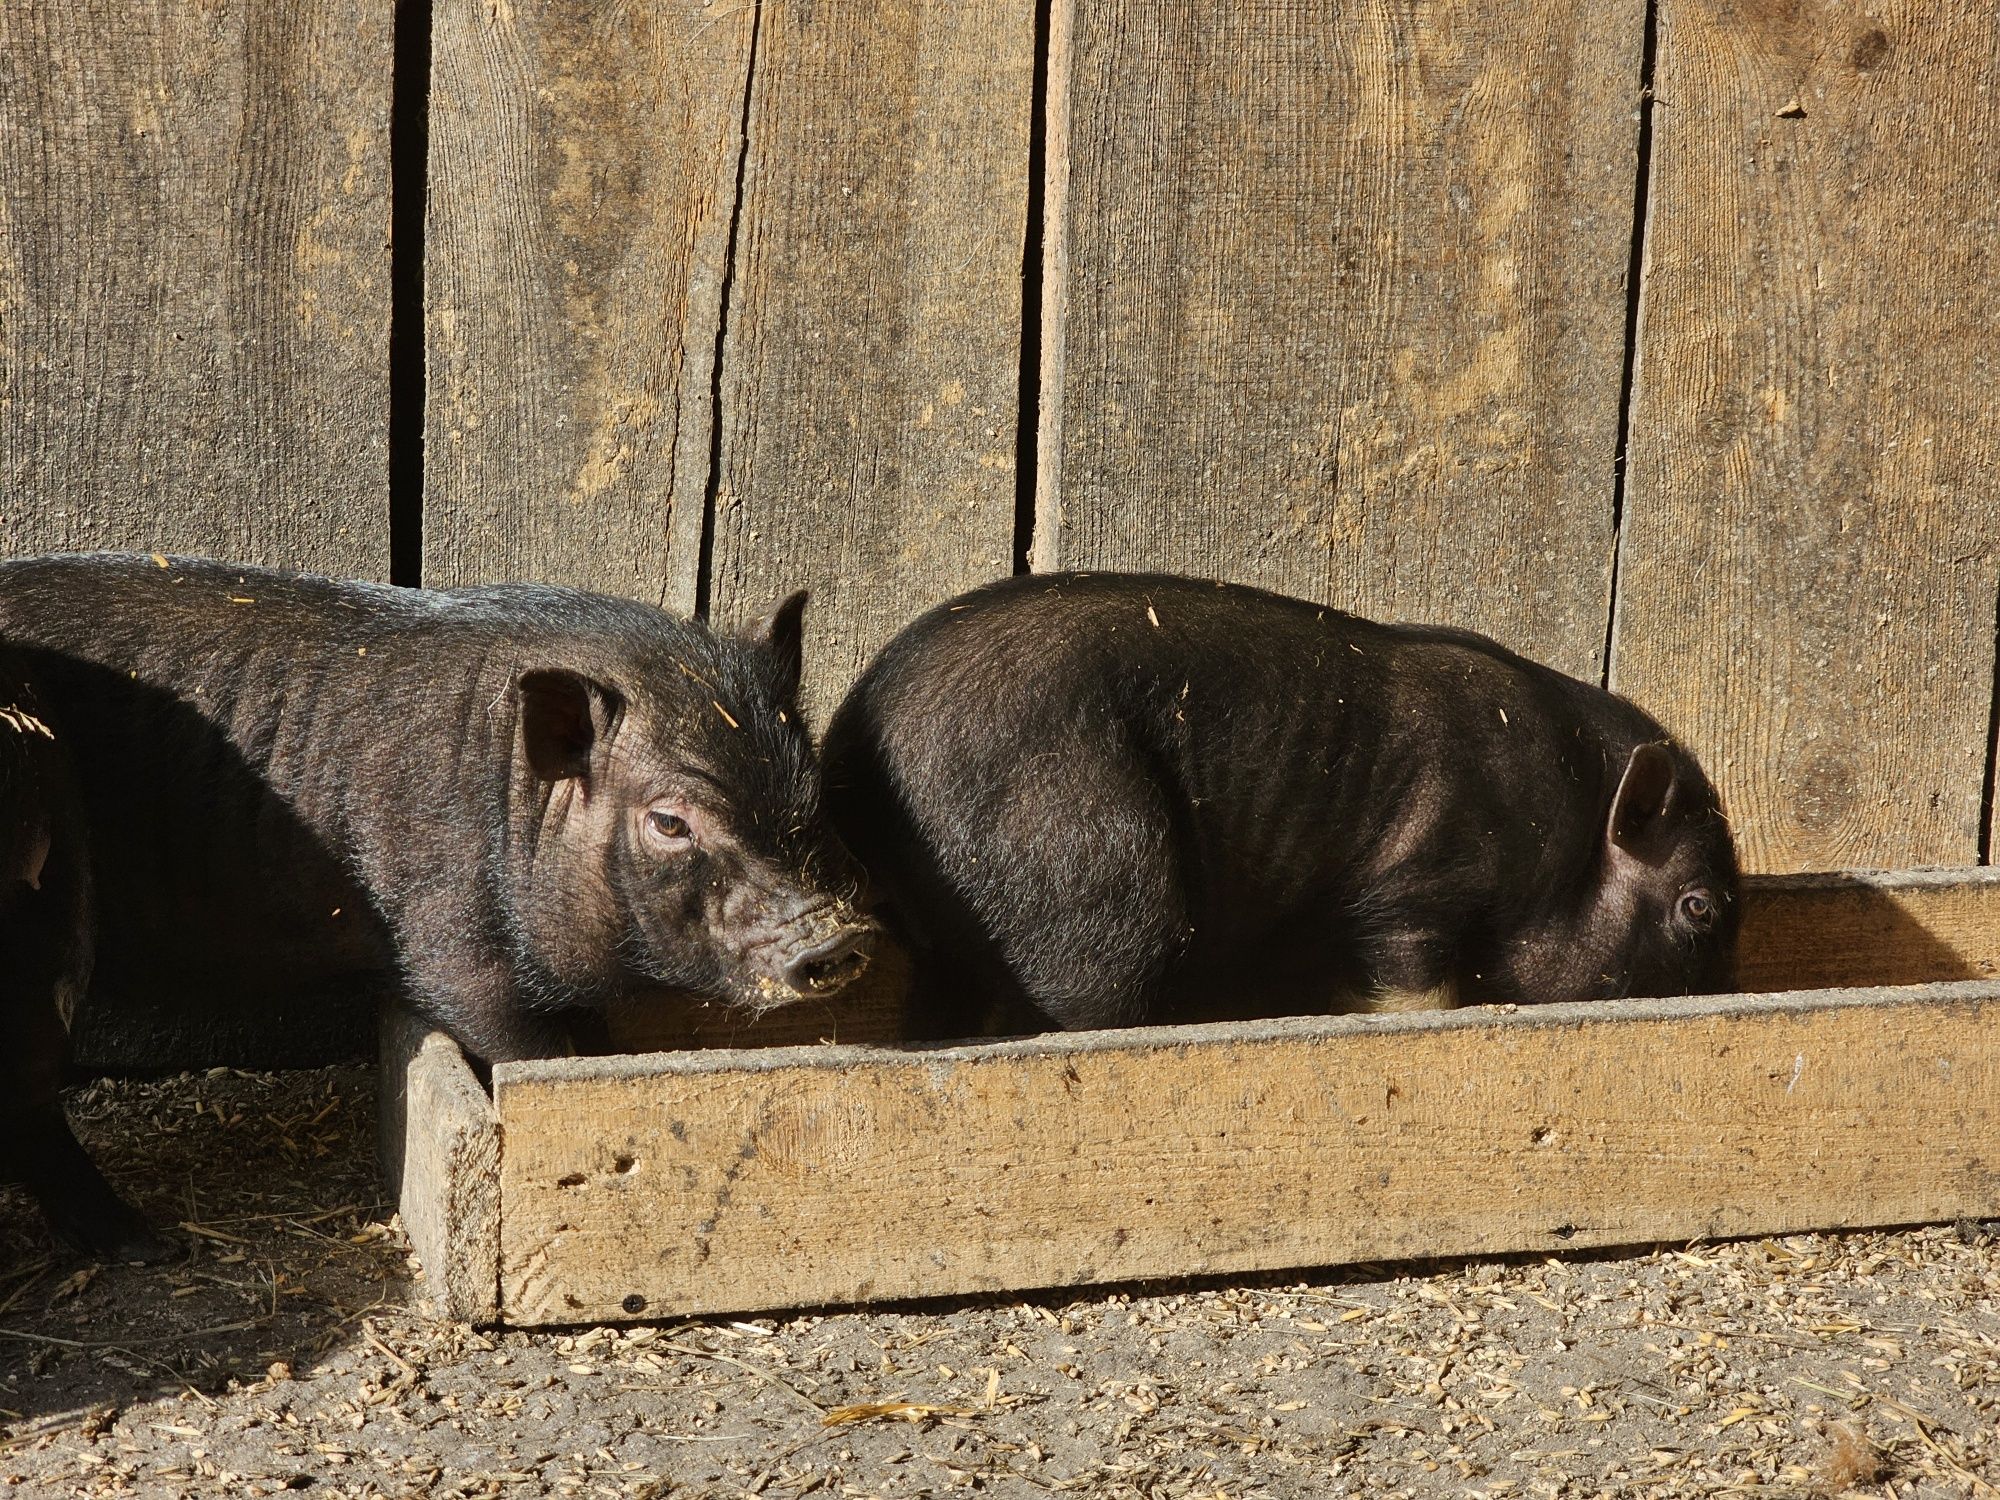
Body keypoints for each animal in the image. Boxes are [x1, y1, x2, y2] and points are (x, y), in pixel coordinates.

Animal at [824, 568, 1736, 1040]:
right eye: (1700, 907)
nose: (1727, 995)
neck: (1567, 842)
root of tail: (855, 759)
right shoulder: (1420, 878)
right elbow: (1415, 986)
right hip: (1088, 857)